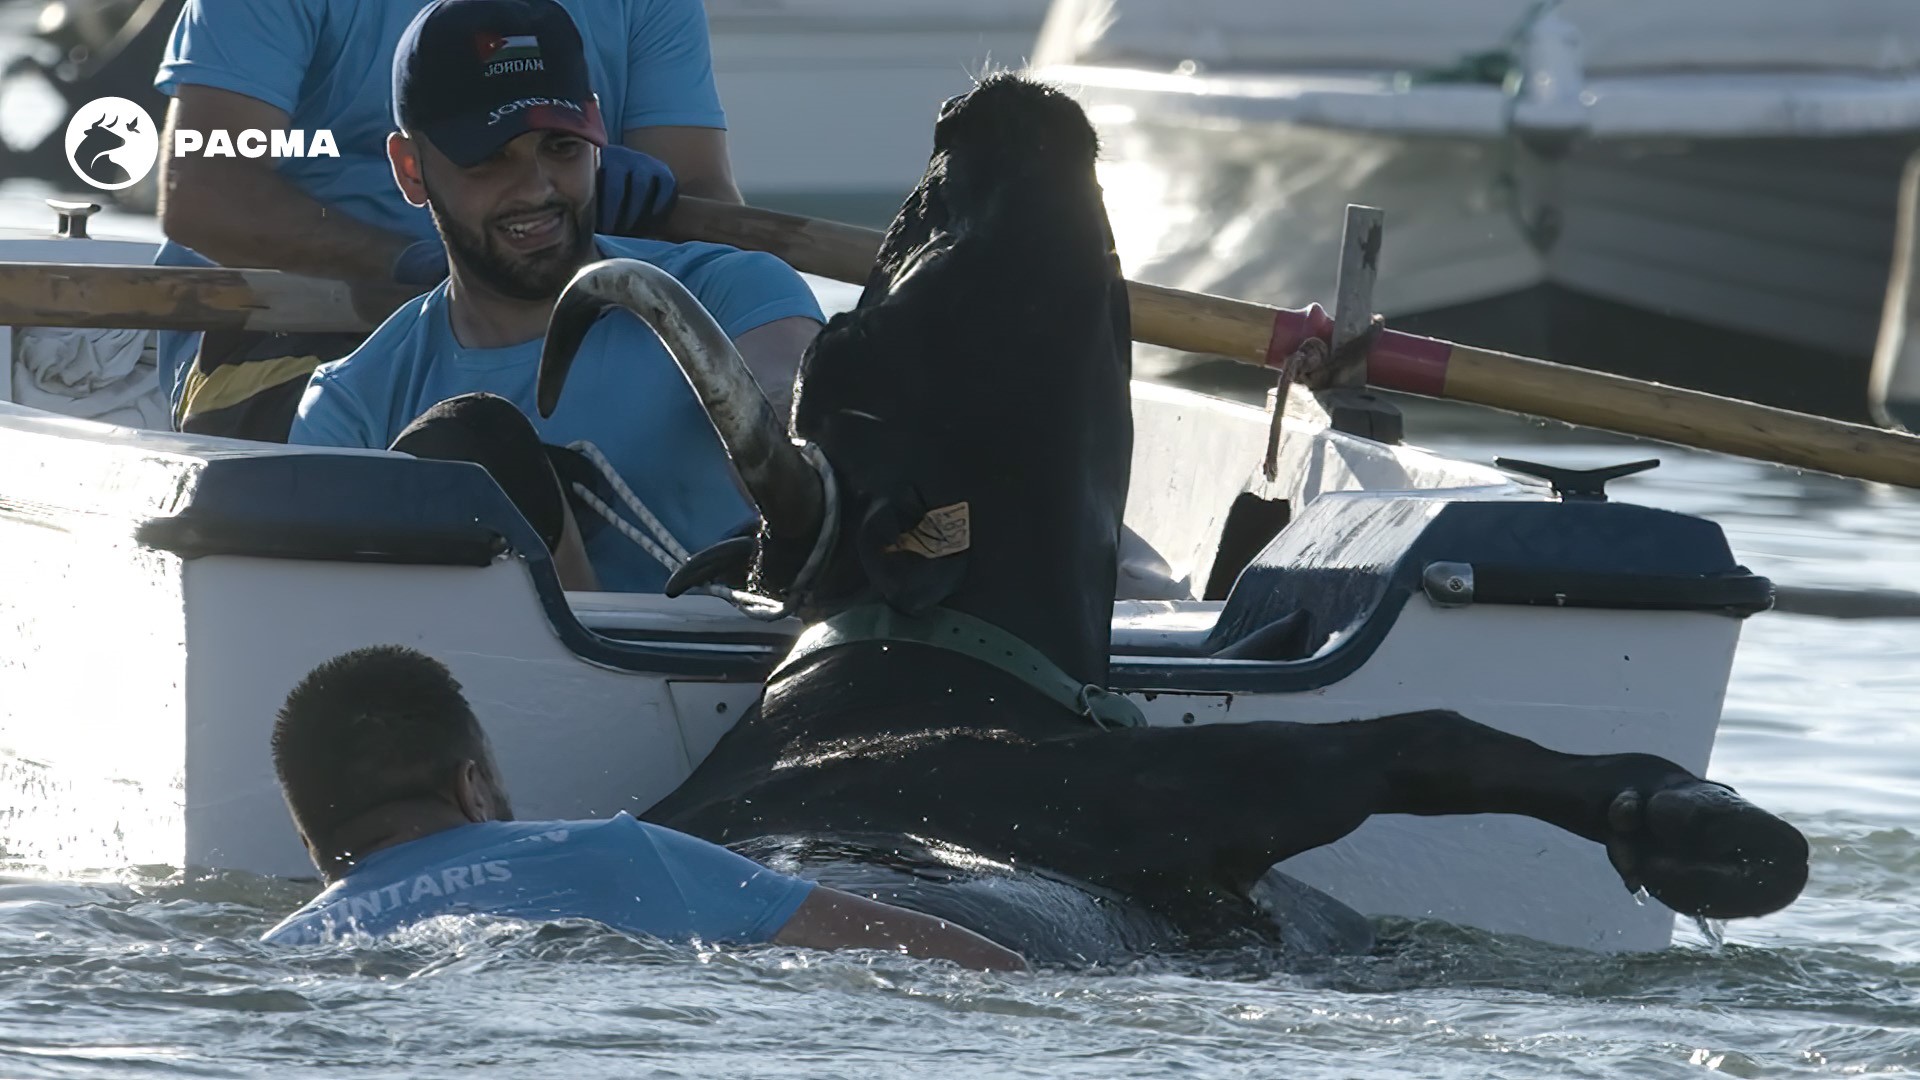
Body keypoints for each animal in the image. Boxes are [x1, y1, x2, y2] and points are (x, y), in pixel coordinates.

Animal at [537, 71, 1797, 953]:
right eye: (854, 337)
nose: (975, 104)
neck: (938, 663)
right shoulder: (1148, 797)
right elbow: (1412, 734)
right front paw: (1707, 822)